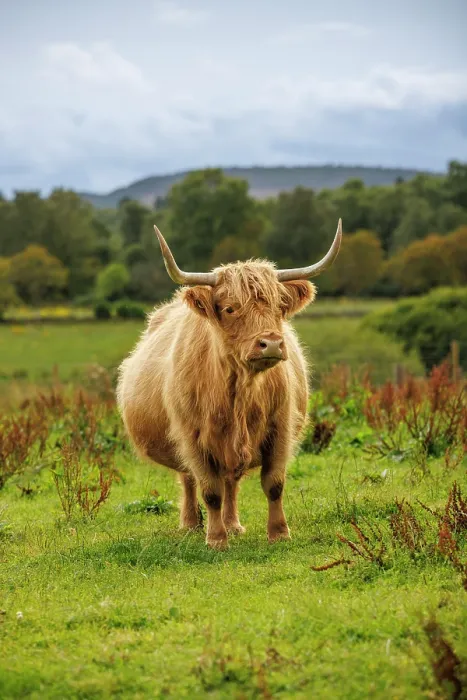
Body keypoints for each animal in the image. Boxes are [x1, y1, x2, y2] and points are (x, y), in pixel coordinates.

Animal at [117, 220, 342, 549]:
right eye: (230, 308)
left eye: (278, 306)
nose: (271, 343)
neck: (240, 392)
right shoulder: (192, 435)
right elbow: (209, 490)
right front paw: (216, 539)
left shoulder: (281, 427)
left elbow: (273, 483)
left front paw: (279, 533)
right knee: (189, 479)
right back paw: (191, 524)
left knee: (231, 481)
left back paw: (233, 524)